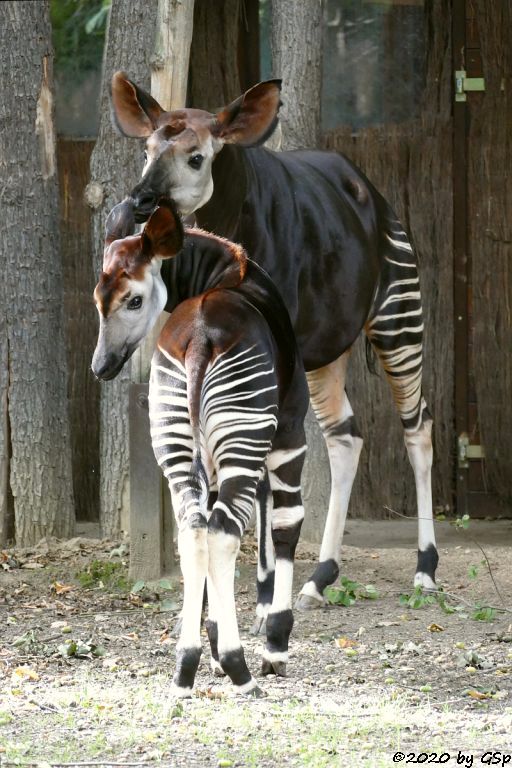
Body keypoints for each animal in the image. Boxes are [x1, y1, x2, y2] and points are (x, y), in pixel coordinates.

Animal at [91, 198, 308, 696]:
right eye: (98, 301)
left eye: (133, 300)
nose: (100, 366)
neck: (227, 272)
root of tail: (200, 339)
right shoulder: (290, 432)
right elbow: (286, 524)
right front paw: (274, 647)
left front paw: (210, 647)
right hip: (246, 438)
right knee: (224, 530)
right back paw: (240, 668)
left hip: (175, 438)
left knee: (193, 529)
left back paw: (186, 666)